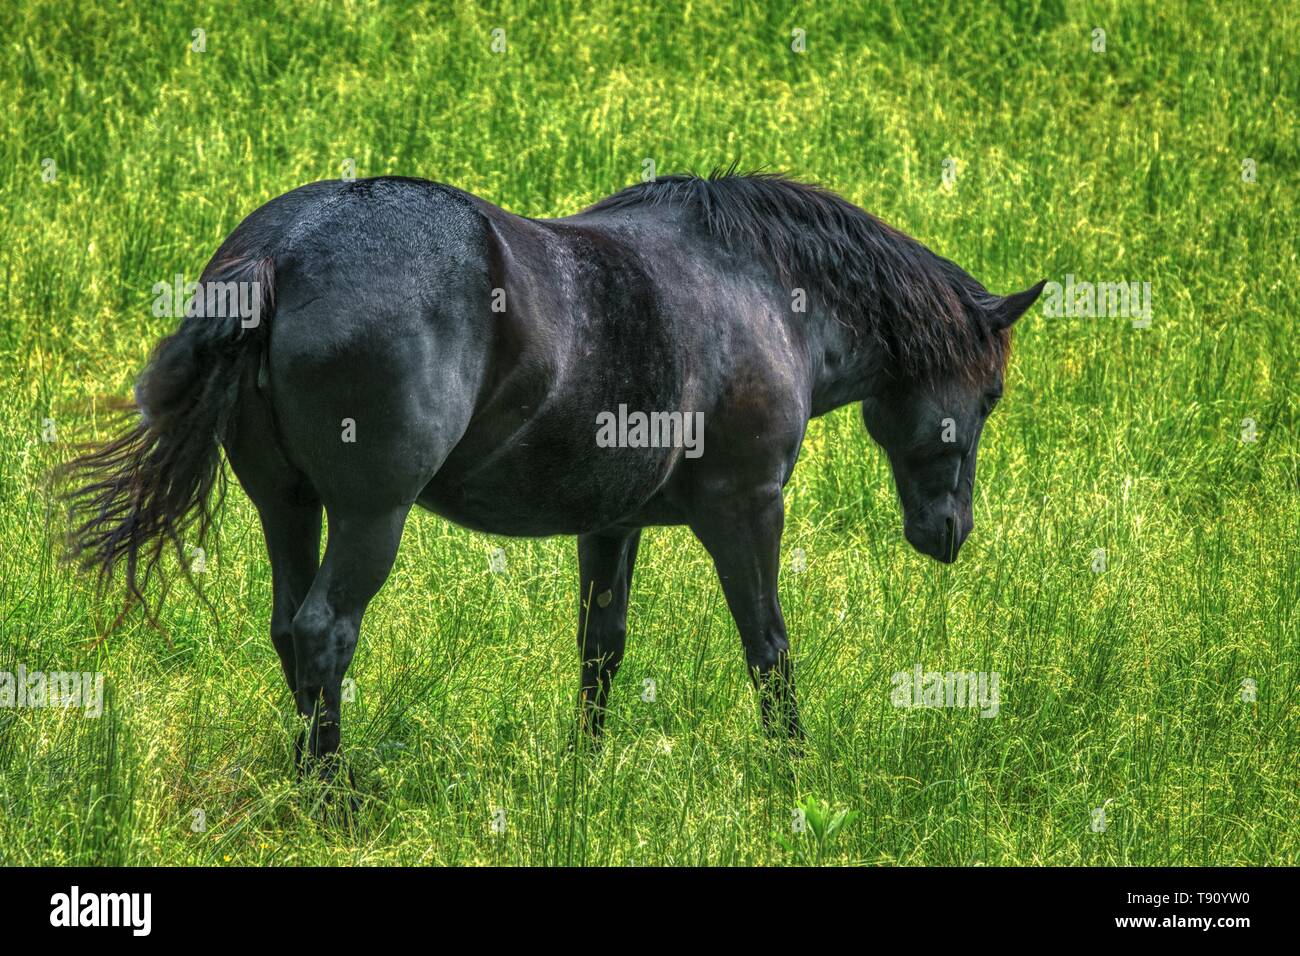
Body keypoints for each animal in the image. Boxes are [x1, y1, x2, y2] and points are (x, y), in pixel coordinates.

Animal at [60, 171, 1043, 775]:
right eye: (990, 395)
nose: (948, 534)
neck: (763, 288)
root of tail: (286, 248)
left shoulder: (611, 522)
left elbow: (600, 647)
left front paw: (586, 771)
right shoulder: (748, 508)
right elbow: (768, 647)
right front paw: (794, 772)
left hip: (287, 505)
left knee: (285, 630)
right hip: (371, 517)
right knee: (322, 632)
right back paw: (336, 798)